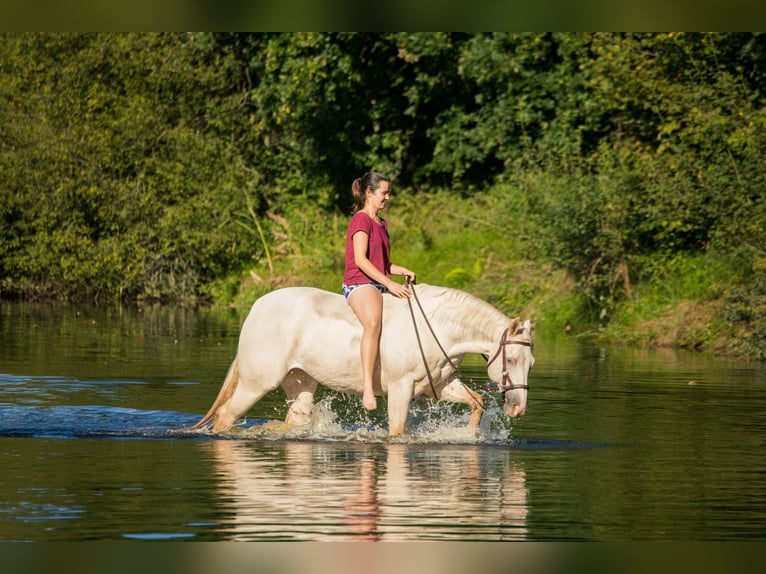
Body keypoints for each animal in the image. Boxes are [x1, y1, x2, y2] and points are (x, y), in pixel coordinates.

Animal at [189, 284, 536, 436]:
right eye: (512, 358)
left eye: (530, 363)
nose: (518, 409)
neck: (437, 327)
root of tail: (257, 307)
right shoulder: (400, 389)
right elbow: (397, 431)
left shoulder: (438, 384)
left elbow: (477, 403)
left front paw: (468, 437)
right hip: (256, 383)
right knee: (225, 415)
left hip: (300, 382)